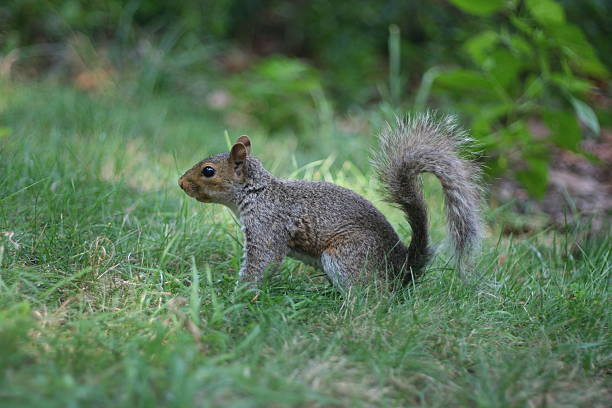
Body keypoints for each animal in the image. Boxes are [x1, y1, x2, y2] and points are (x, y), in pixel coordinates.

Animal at [177, 111, 482, 290]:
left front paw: (240, 292)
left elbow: (263, 261)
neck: (259, 193)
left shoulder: (268, 227)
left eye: (208, 171)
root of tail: (401, 266)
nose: (180, 183)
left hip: (345, 256)